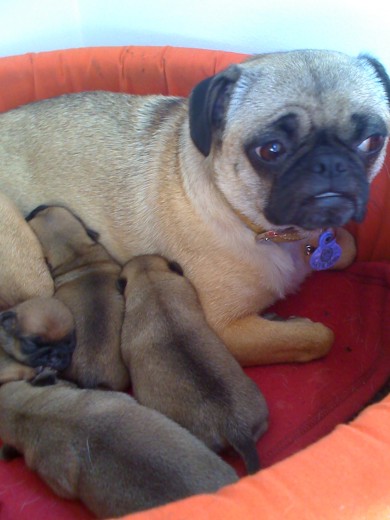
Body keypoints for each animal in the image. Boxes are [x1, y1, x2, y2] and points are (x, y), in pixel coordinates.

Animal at [0, 50, 390, 364]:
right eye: (271, 150)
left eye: (372, 141)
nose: (330, 163)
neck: (270, 232)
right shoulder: (226, 330)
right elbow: (317, 338)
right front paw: (292, 324)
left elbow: (348, 247)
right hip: (31, 273)